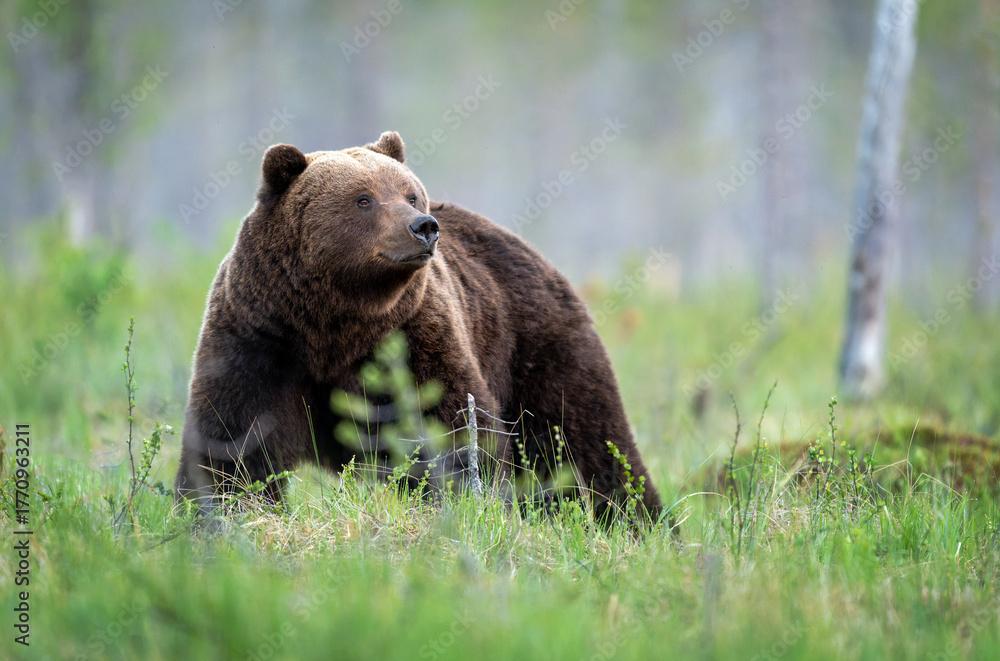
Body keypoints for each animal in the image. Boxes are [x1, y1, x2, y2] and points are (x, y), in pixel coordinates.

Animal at [174, 131, 664, 527]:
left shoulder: (411, 335)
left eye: (410, 194)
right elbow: (234, 436)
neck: (333, 325)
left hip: (537, 345)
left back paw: (637, 520)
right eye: (364, 198)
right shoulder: (259, 338)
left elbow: (449, 423)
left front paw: (463, 500)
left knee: (583, 439)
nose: (424, 227)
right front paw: (214, 510)